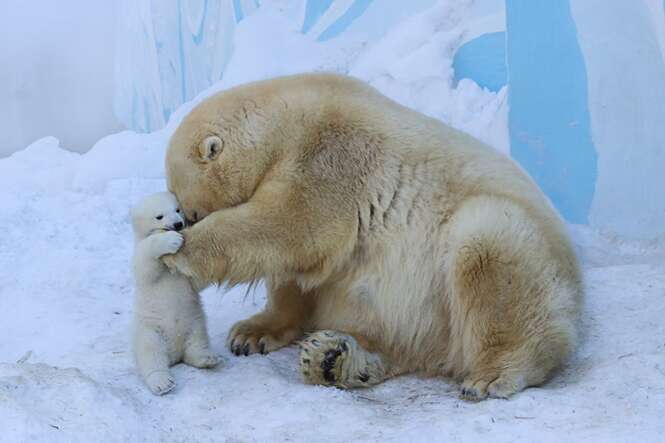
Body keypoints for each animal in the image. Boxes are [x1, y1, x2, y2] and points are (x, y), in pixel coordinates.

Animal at [162, 72, 580, 398]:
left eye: (189, 209)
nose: (183, 220)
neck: (287, 119)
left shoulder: (333, 156)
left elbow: (291, 226)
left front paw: (179, 252)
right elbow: (299, 272)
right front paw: (251, 333)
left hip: (514, 247)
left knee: (489, 249)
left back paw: (494, 374)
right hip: (419, 319)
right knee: (396, 340)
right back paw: (333, 359)